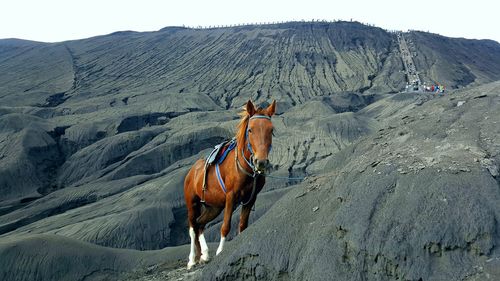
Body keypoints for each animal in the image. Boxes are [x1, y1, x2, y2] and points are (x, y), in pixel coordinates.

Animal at [185, 99, 278, 268]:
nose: (261, 162)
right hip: (192, 203)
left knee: (200, 224)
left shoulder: (250, 198)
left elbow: (242, 225)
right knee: (192, 228)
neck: (246, 167)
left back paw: (204, 255)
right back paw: (192, 260)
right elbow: (225, 226)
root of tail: (191, 172)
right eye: (250, 130)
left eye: (271, 129)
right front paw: (221, 251)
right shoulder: (231, 197)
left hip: (213, 207)